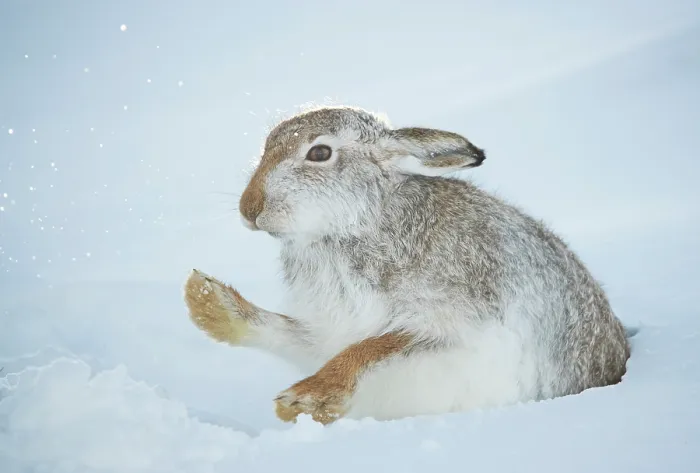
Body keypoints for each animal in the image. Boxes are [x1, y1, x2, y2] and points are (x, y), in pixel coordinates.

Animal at [183, 105, 631, 425]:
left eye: (320, 153)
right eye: (266, 145)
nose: (250, 208)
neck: (355, 226)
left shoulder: (456, 323)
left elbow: (372, 347)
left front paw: (305, 400)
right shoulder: (324, 332)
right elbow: (287, 332)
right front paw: (206, 301)